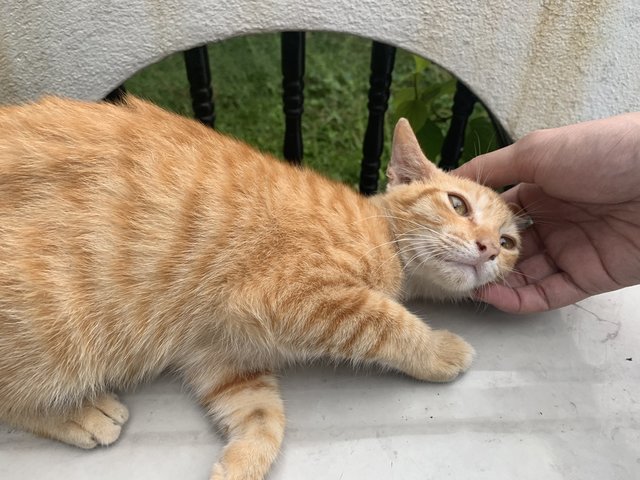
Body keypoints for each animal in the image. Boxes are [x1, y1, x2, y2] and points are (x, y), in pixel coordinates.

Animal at [0, 95, 520, 478]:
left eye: (509, 241)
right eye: (458, 203)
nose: (488, 249)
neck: (382, 235)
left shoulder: (217, 352)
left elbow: (261, 413)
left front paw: (241, 463)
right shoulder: (292, 293)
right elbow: (386, 322)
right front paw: (437, 350)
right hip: (55, 325)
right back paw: (81, 415)